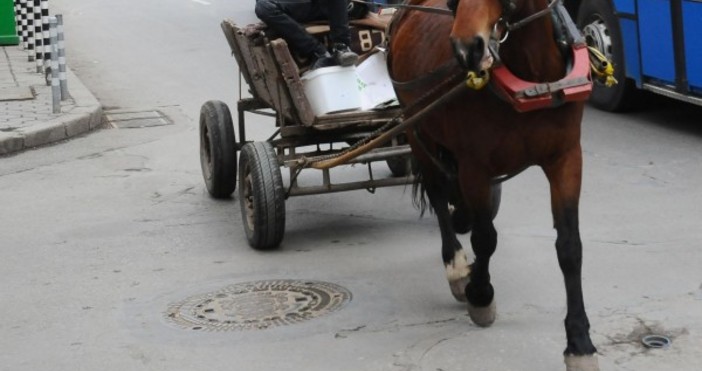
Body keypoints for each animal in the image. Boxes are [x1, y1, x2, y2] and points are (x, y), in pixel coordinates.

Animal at [390, 0, 600, 371]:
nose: (466, 48)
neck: (535, 77)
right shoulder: (475, 167)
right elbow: (485, 238)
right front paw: (479, 295)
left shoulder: (566, 159)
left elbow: (569, 248)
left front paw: (579, 342)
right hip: (415, 128)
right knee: (437, 192)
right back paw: (457, 266)